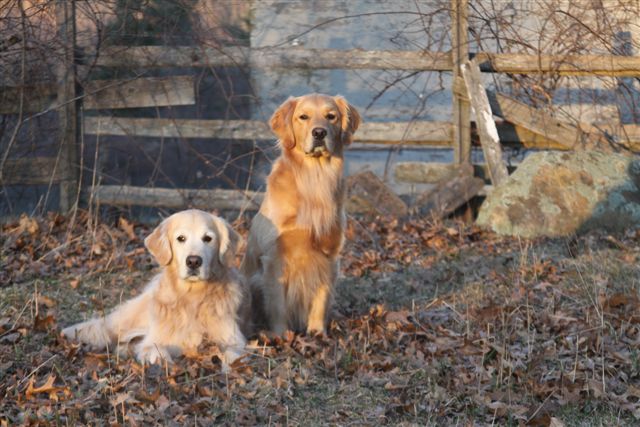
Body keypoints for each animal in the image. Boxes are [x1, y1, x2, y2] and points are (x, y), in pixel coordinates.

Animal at [61, 209, 248, 370]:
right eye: (181, 238)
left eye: (208, 238)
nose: (194, 261)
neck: (191, 297)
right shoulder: (154, 341)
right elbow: (157, 350)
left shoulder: (234, 339)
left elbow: (233, 354)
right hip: (124, 321)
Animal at [241, 93, 360, 334]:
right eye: (303, 117)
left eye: (331, 116)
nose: (319, 133)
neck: (314, 179)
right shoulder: (274, 257)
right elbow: (277, 303)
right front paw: (280, 335)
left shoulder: (329, 256)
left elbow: (321, 299)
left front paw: (317, 332)